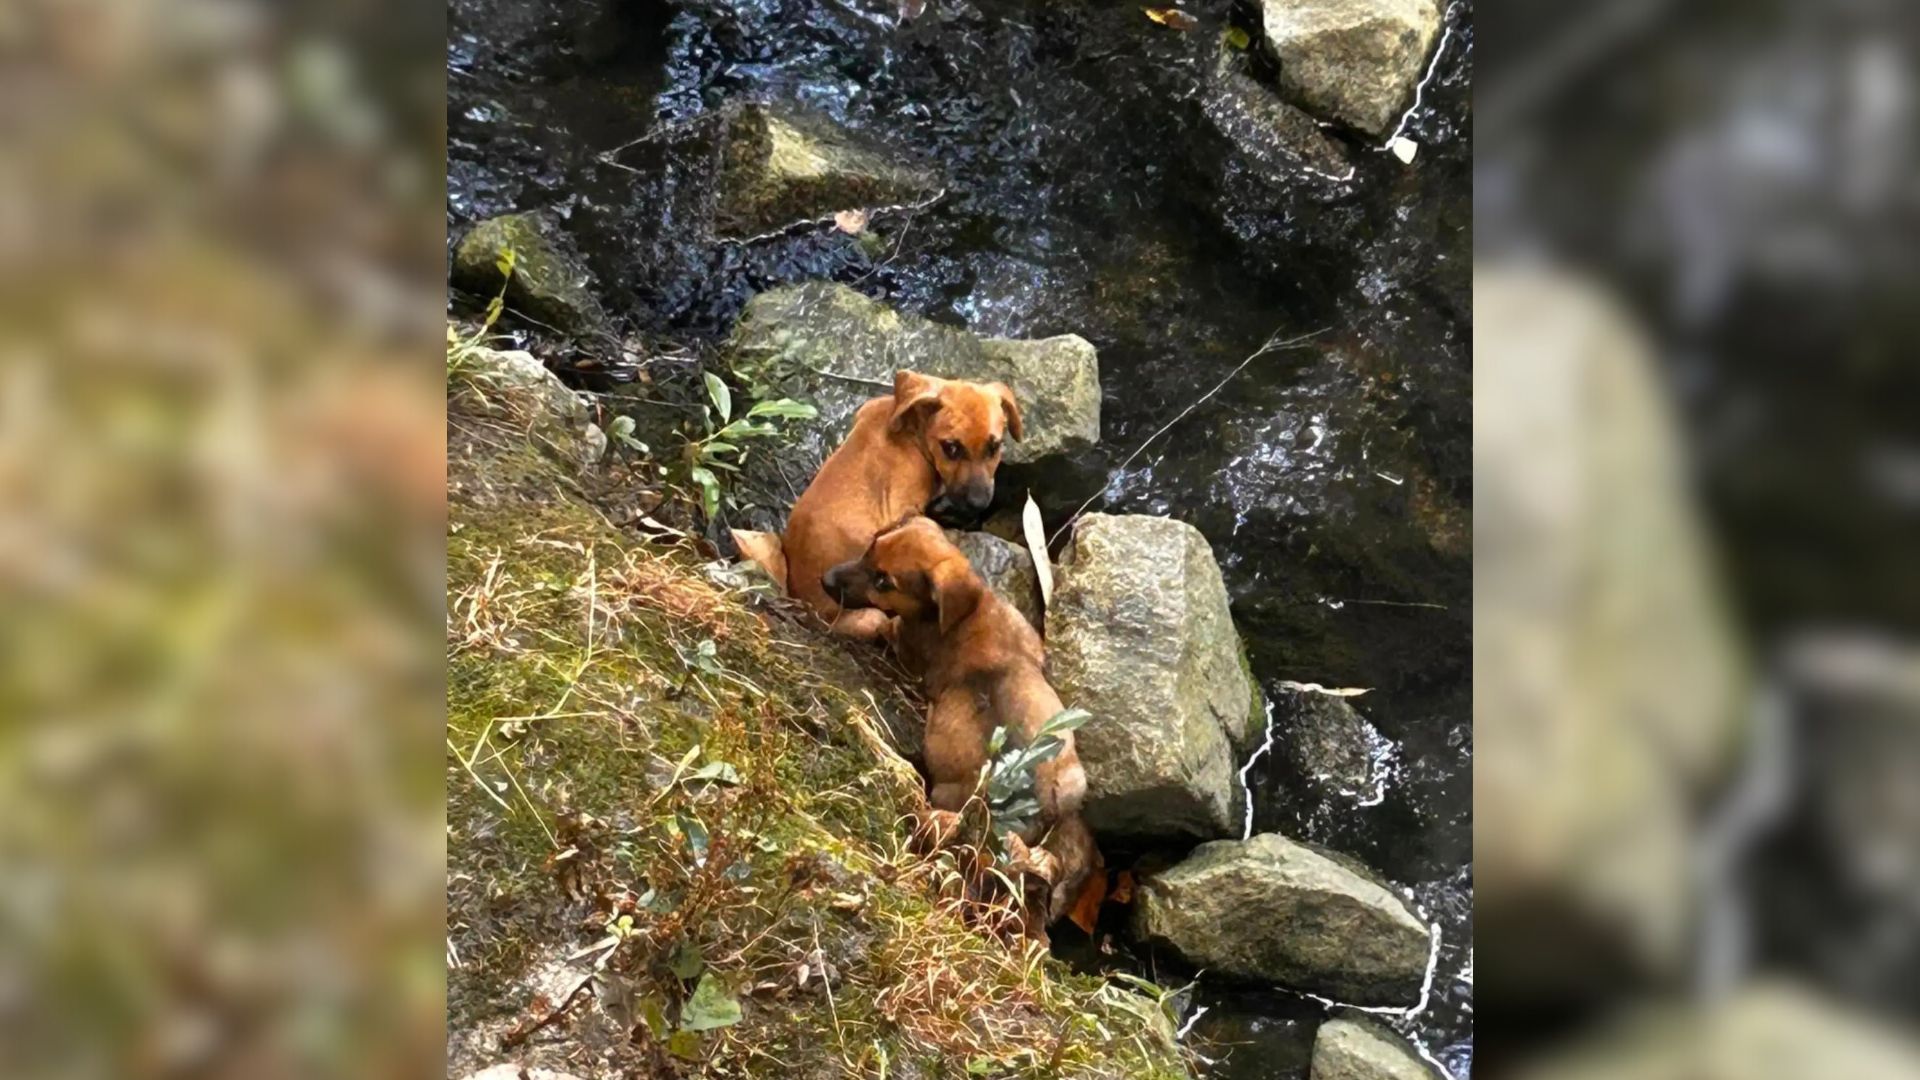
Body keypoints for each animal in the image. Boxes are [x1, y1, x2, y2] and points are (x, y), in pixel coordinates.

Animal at [775, 372, 1021, 638]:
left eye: (994, 447)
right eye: (951, 447)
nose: (978, 503)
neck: (910, 431)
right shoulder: (904, 507)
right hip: (871, 616)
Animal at [821, 511, 1098, 914]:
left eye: (883, 581)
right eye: (871, 545)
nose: (824, 580)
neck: (971, 610)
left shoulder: (903, 642)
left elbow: (879, 623)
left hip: (946, 796)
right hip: (1073, 777)